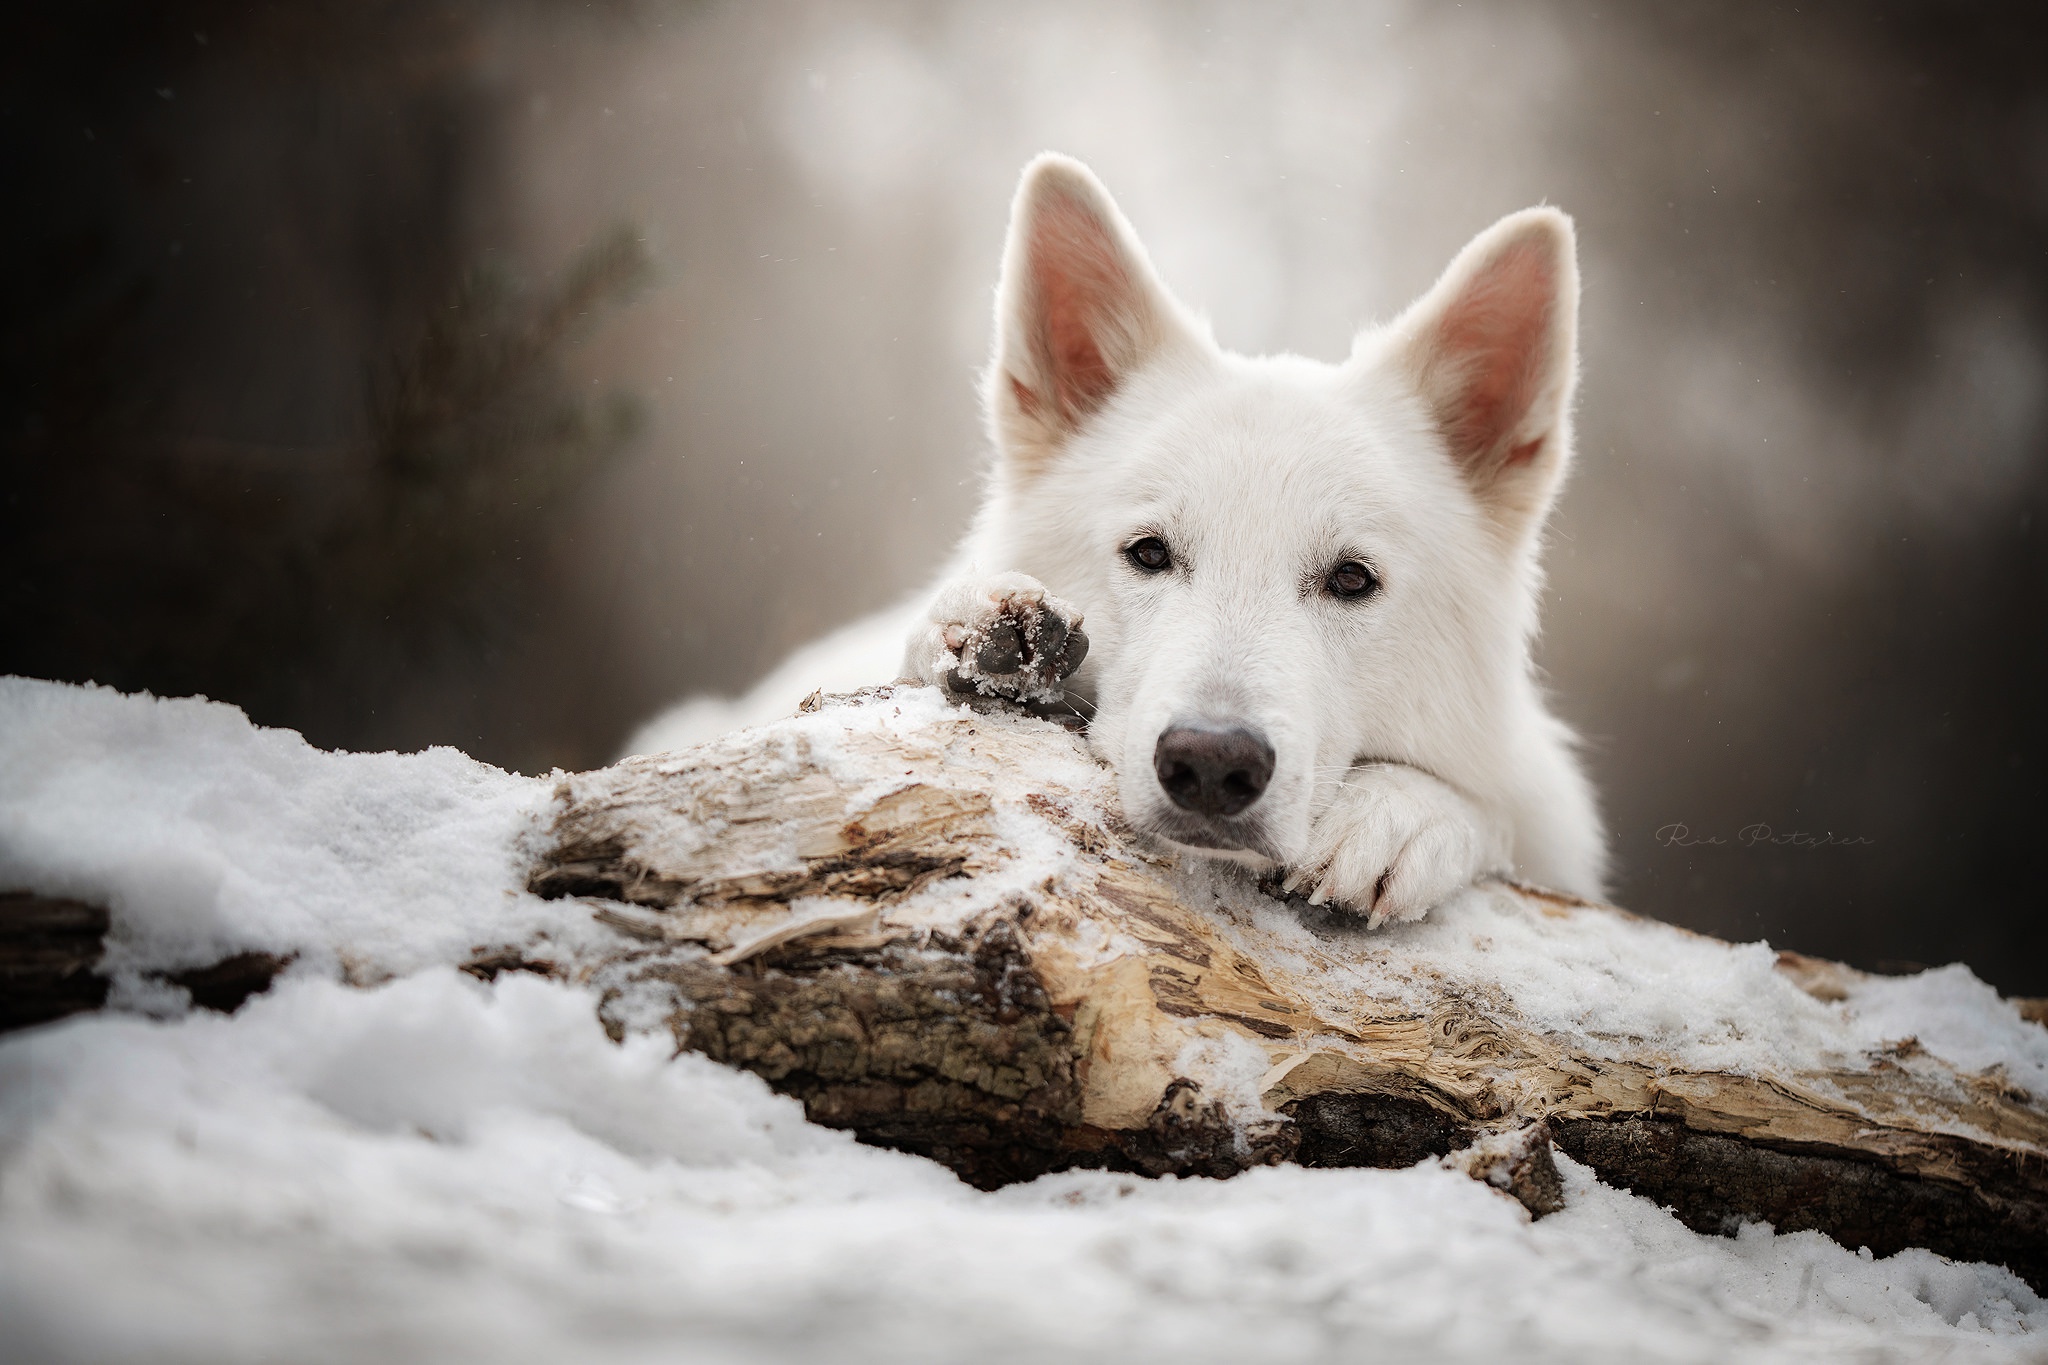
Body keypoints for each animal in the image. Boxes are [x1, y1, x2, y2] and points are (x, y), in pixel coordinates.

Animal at [630, 157, 1605, 929]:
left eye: (1353, 579)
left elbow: (1502, 813)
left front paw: (1404, 811)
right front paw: (974, 633)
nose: (1211, 763)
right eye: (1148, 552)